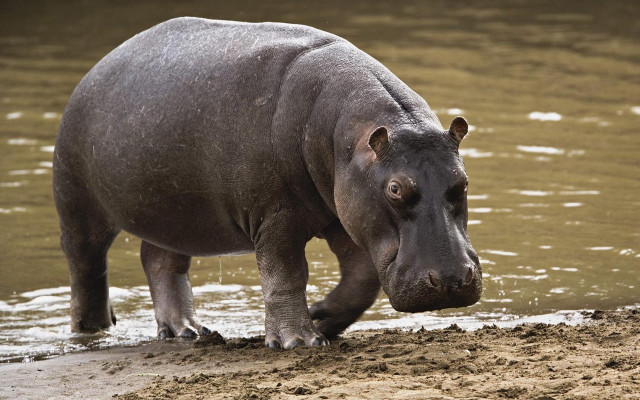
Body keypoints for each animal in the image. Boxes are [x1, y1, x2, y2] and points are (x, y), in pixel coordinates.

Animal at [53, 17, 482, 349]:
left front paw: (321, 318)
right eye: (395, 189)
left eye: (462, 182)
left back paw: (187, 331)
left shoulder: (345, 215)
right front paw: (299, 341)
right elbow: (286, 275)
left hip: (172, 213)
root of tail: (95, 69)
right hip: (77, 204)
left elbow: (362, 279)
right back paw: (92, 331)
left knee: (160, 261)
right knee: (86, 269)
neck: (347, 136)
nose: (450, 280)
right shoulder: (276, 217)